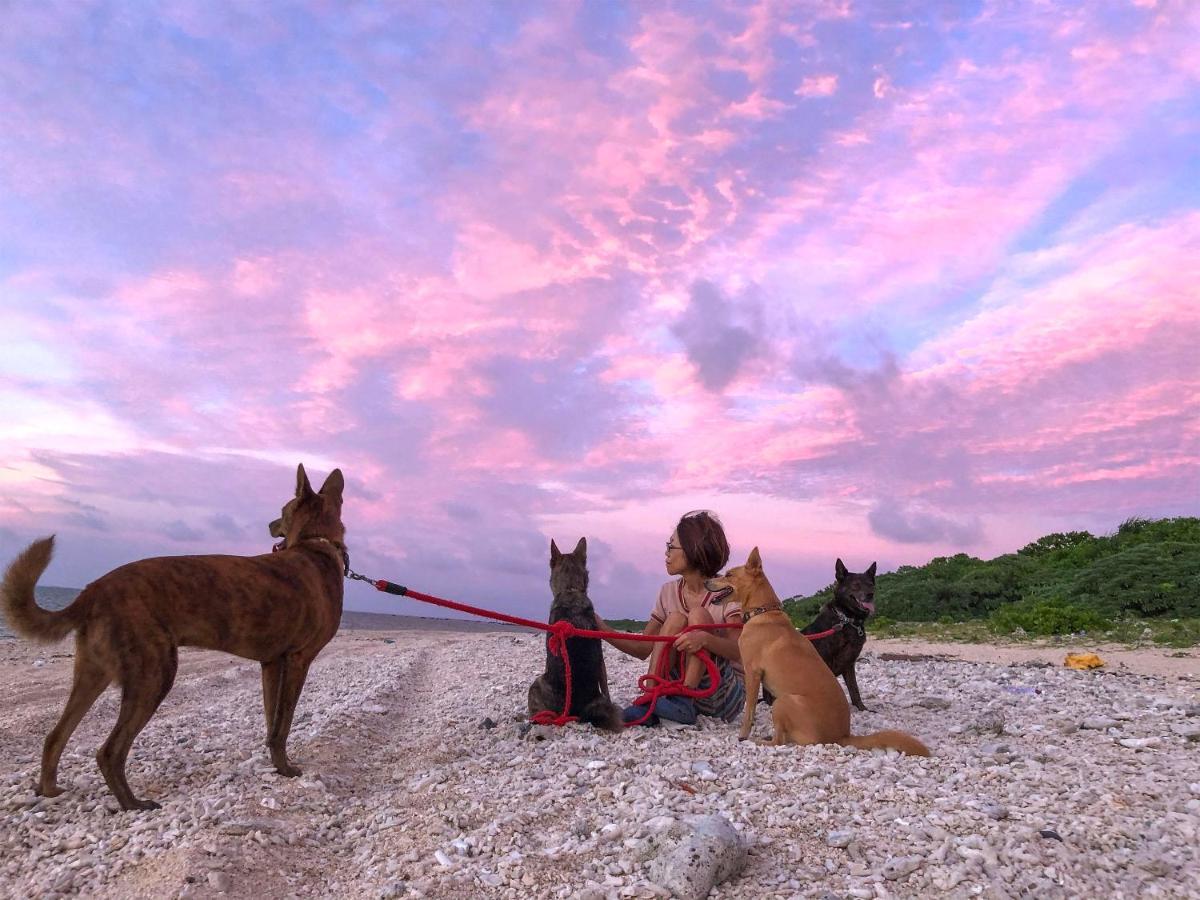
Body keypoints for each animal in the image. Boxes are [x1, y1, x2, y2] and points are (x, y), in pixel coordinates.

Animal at [801, 556, 878, 710]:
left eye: (870, 584)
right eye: (856, 585)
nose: (870, 595)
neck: (847, 619)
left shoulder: (849, 663)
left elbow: (854, 689)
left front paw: (862, 708)